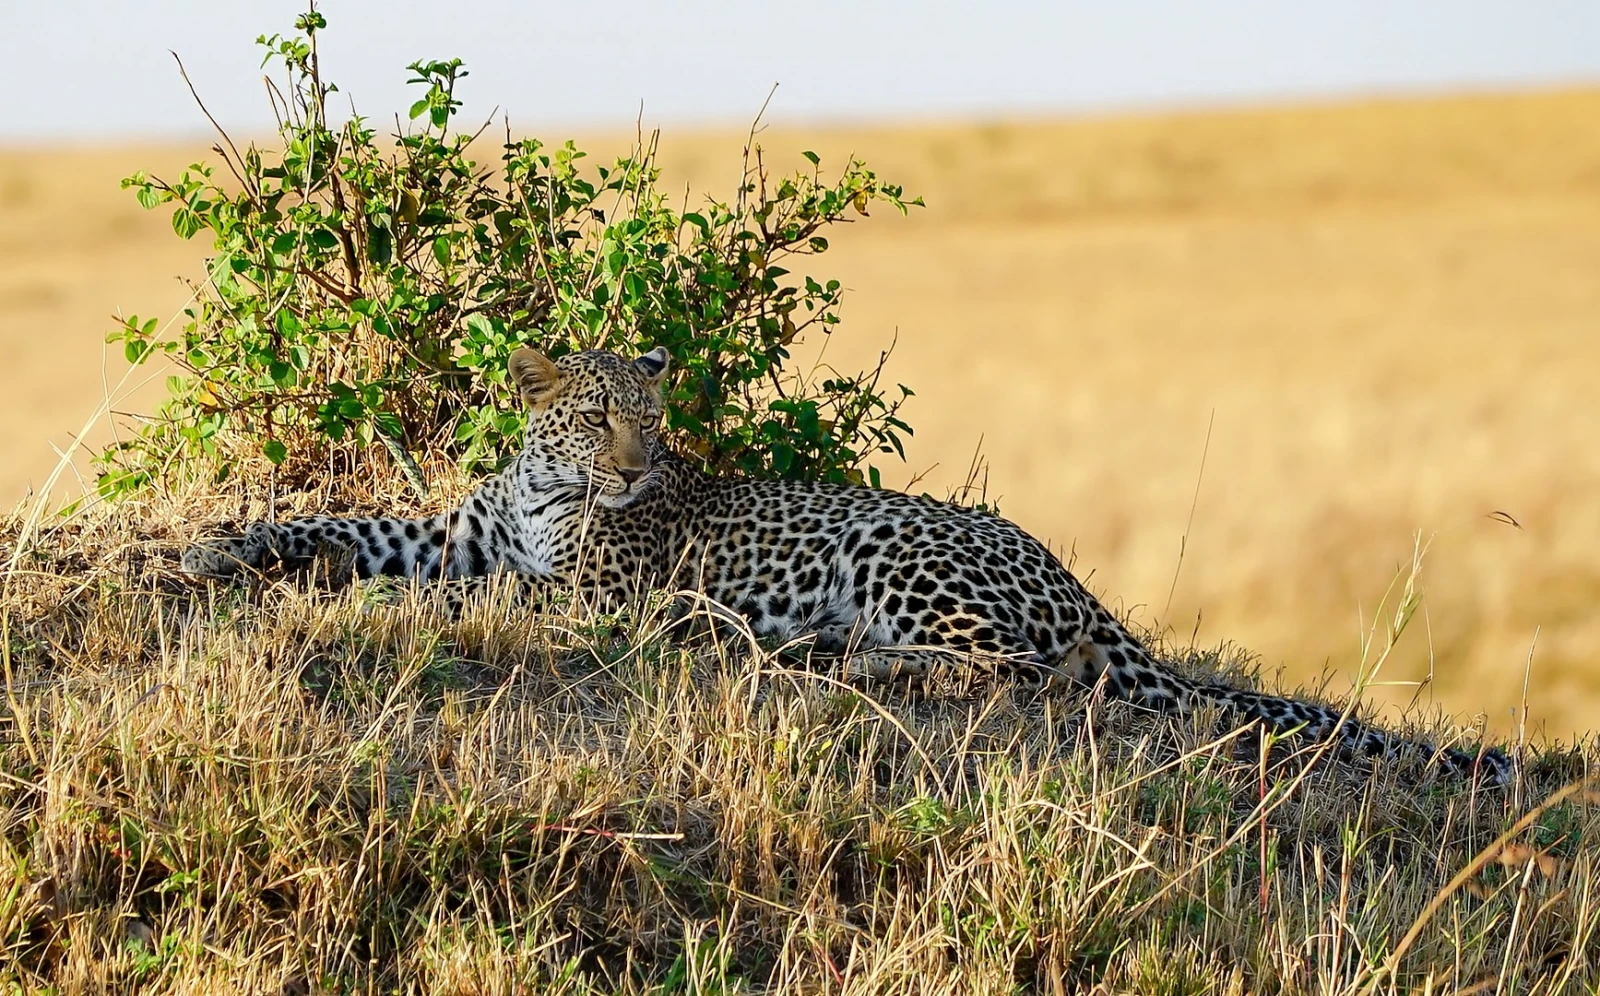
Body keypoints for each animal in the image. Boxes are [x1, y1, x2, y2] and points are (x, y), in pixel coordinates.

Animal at [187, 342, 1510, 787]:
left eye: (648, 422)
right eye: (596, 417)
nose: (636, 472)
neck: (546, 489)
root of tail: (1071, 577)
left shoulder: (593, 598)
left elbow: (500, 595)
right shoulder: (454, 529)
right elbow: (348, 529)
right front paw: (225, 547)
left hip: (897, 550)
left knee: (1015, 672)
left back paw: (826, 658)